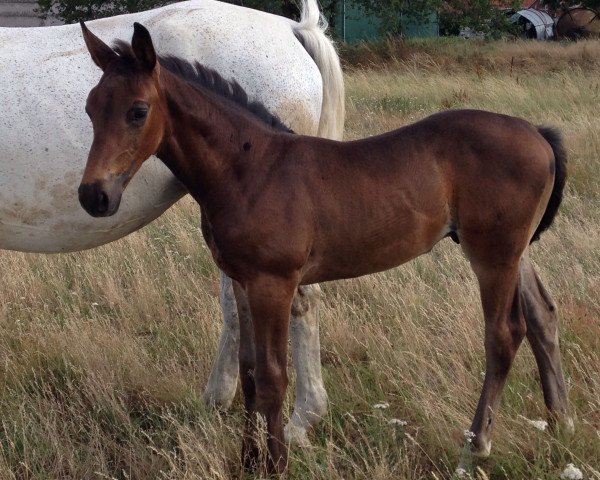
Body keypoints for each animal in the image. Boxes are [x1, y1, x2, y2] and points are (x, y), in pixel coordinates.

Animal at [77, 23, 568, 476]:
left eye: (138, 111)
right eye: (89, 108)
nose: (94, 196)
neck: (250, 170)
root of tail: (537, 132)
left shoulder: (274, 282)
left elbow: (273, 375)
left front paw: (275, 463)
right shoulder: (243, 280)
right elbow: (250, 370)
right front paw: (247, 460)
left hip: (492, 255)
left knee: (503, 334)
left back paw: (476, 448)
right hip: (514, 252)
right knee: (543, 315)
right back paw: (560, 424)